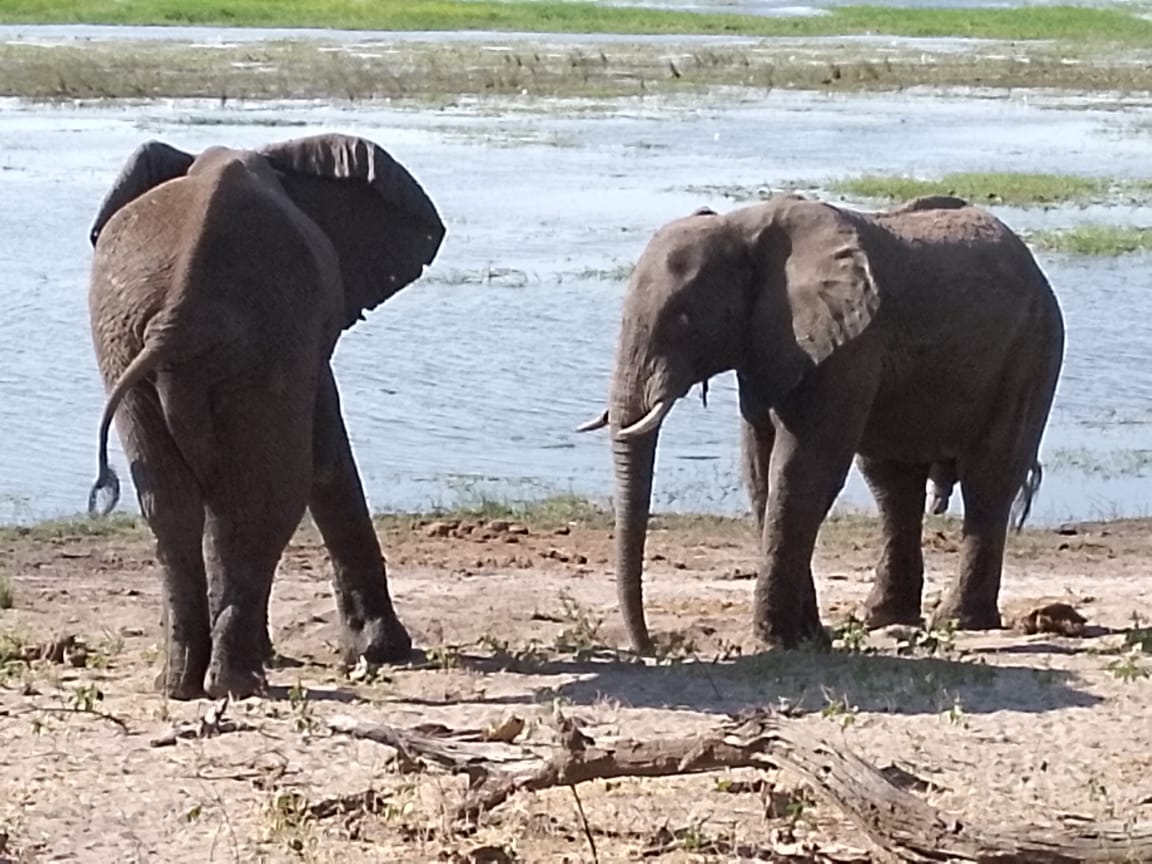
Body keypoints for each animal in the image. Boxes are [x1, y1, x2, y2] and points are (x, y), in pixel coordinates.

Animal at [84, 137, 444, 705]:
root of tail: (176, 317)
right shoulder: (303, 337)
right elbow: (324, 457)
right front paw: (384, 654)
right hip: (249, 341)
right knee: (263, 500)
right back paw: (236, 682)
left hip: (129, 344)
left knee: (174, 506)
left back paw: (184, 685)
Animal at [580, 194, 1064, 654]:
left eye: (682, 319)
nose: (650, 647)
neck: (742, 226)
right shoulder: (765, 345)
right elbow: (761, 469)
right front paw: (808, 637)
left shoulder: (846, 345)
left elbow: (803, 468)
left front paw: (775, 642)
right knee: (892, 482)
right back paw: (883, 618)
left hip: (1033, 350)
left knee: (989, 477)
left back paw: (960, 621)